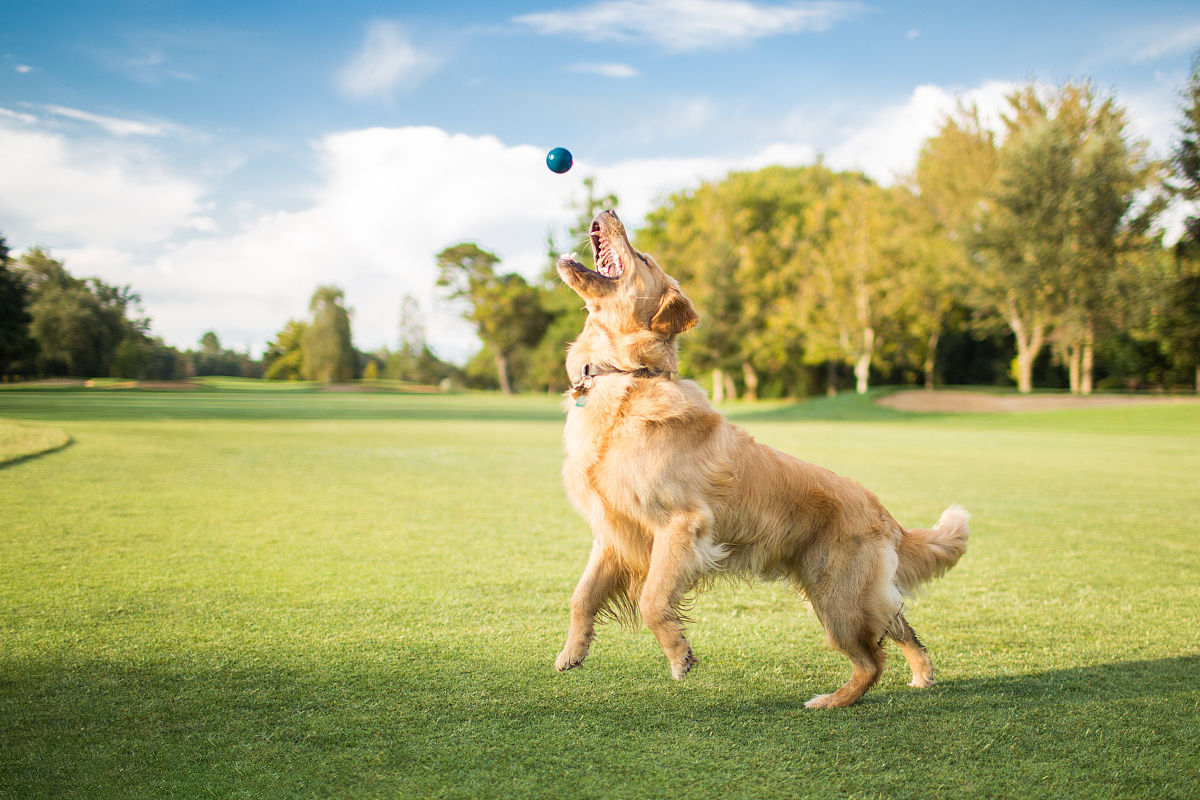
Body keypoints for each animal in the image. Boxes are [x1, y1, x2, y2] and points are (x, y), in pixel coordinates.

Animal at [552, 211, 964, 705]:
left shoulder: (682, 525)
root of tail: (884, 512)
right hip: (853, 594)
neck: (628, 376)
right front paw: (572, 652)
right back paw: (922, 676)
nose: (610, 211)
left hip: (837, 598)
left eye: (644, 258)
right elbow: (580, 596)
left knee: (872, 661)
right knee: (900, 626)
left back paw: (833, 700)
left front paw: (679, 655)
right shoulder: (613, 531)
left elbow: (652, 600)